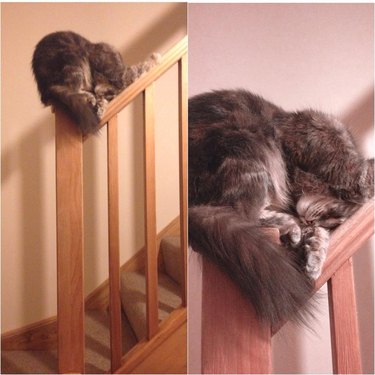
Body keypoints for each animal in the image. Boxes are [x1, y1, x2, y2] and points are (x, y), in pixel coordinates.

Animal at [32, 31, 160, 135]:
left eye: (109, 95)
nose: (112, 95)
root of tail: (45, 87)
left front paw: (100, 108)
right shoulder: (120, 75)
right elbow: (139, 67)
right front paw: (155, 58)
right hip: (73, 60)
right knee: (74, 89)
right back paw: (88, 96)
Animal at [189, 89, 374, 326]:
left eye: (332, 219)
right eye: (332, 212)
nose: (308, 220)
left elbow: (321, 237)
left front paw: (314, 260)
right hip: (247, 148)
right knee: (246, 213)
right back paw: (290, 227)